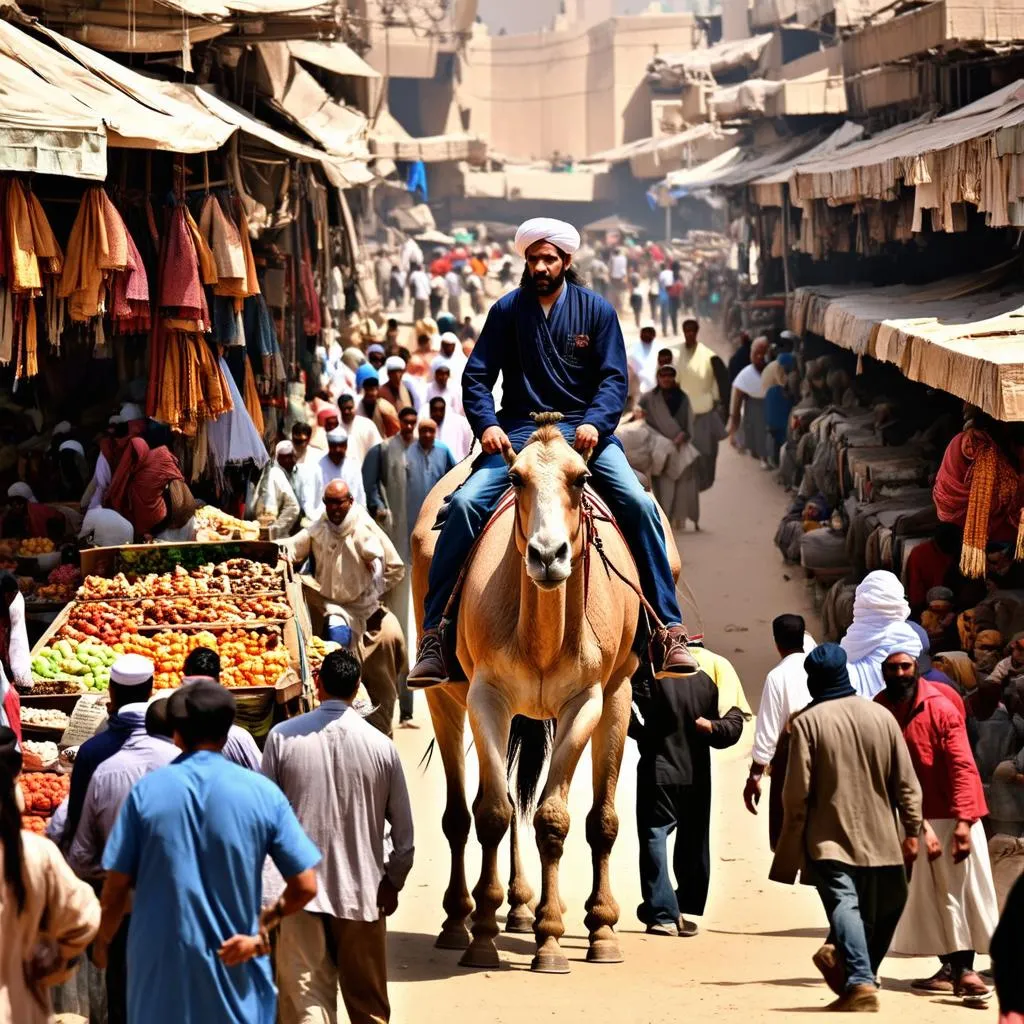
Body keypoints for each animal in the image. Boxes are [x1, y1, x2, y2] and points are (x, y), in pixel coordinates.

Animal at [407, 411, 679, 970]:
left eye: (582, 478)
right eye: (515, 479)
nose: (548, 555)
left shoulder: (595, 701)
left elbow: (569, 819)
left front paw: (581, 933)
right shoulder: (486, 699)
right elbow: (491, 811)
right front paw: (483, 937)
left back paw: (524, 911)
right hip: (447, 697)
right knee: (462, 813)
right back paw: (461, 919)